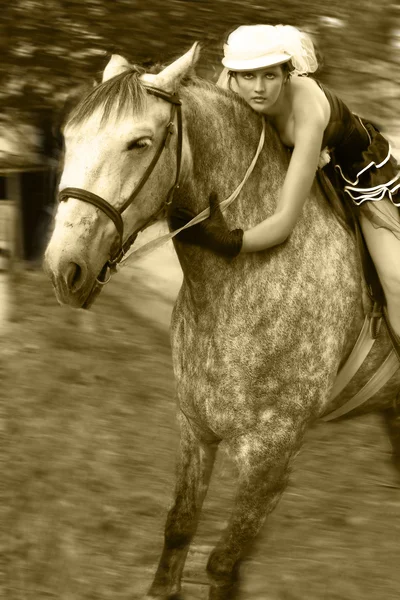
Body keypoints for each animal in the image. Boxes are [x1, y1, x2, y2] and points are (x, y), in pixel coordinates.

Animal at [43, 44, 400, 596]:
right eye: (69, 137)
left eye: (139, 143)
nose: (65, 268)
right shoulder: (196, 429)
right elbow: (179, 532)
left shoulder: (270, 457)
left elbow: (222, 563)